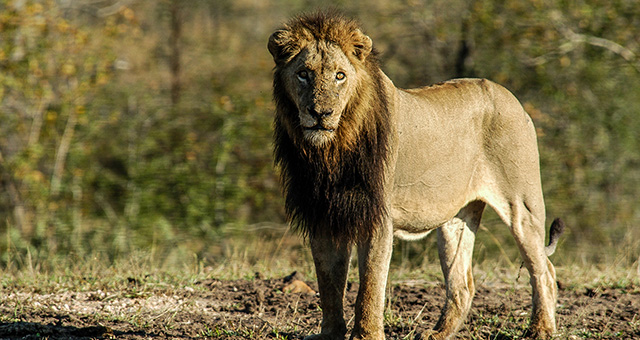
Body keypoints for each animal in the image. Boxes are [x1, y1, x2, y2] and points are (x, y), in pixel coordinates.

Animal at [268, 11, 564, 338]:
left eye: (340, 76)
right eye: (303, 74)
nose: (321, 113)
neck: (331, 151)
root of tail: (511, 98)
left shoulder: (377, 218)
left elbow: (370, 286)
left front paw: (367, 334)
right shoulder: (323, 215)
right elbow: (329, 284)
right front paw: (330, 334)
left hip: (521, 206)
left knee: (545, 271)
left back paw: (540, 329)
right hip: (455, 220)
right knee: (463, 285)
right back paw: (437, 334)